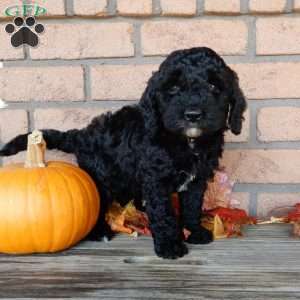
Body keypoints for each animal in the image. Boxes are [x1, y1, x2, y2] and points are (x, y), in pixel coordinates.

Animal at [0, 48, 246, 258]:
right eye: (174, 88)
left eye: (214, 86)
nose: (193, 114)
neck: (188, 141)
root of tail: (82, 134)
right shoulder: (156, 180)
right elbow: (163, 212)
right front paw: (170, 245)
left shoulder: (197, 179)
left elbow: (193, 205)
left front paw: (194, 231)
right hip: (101, 178)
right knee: (96, 205)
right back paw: (99, 232)